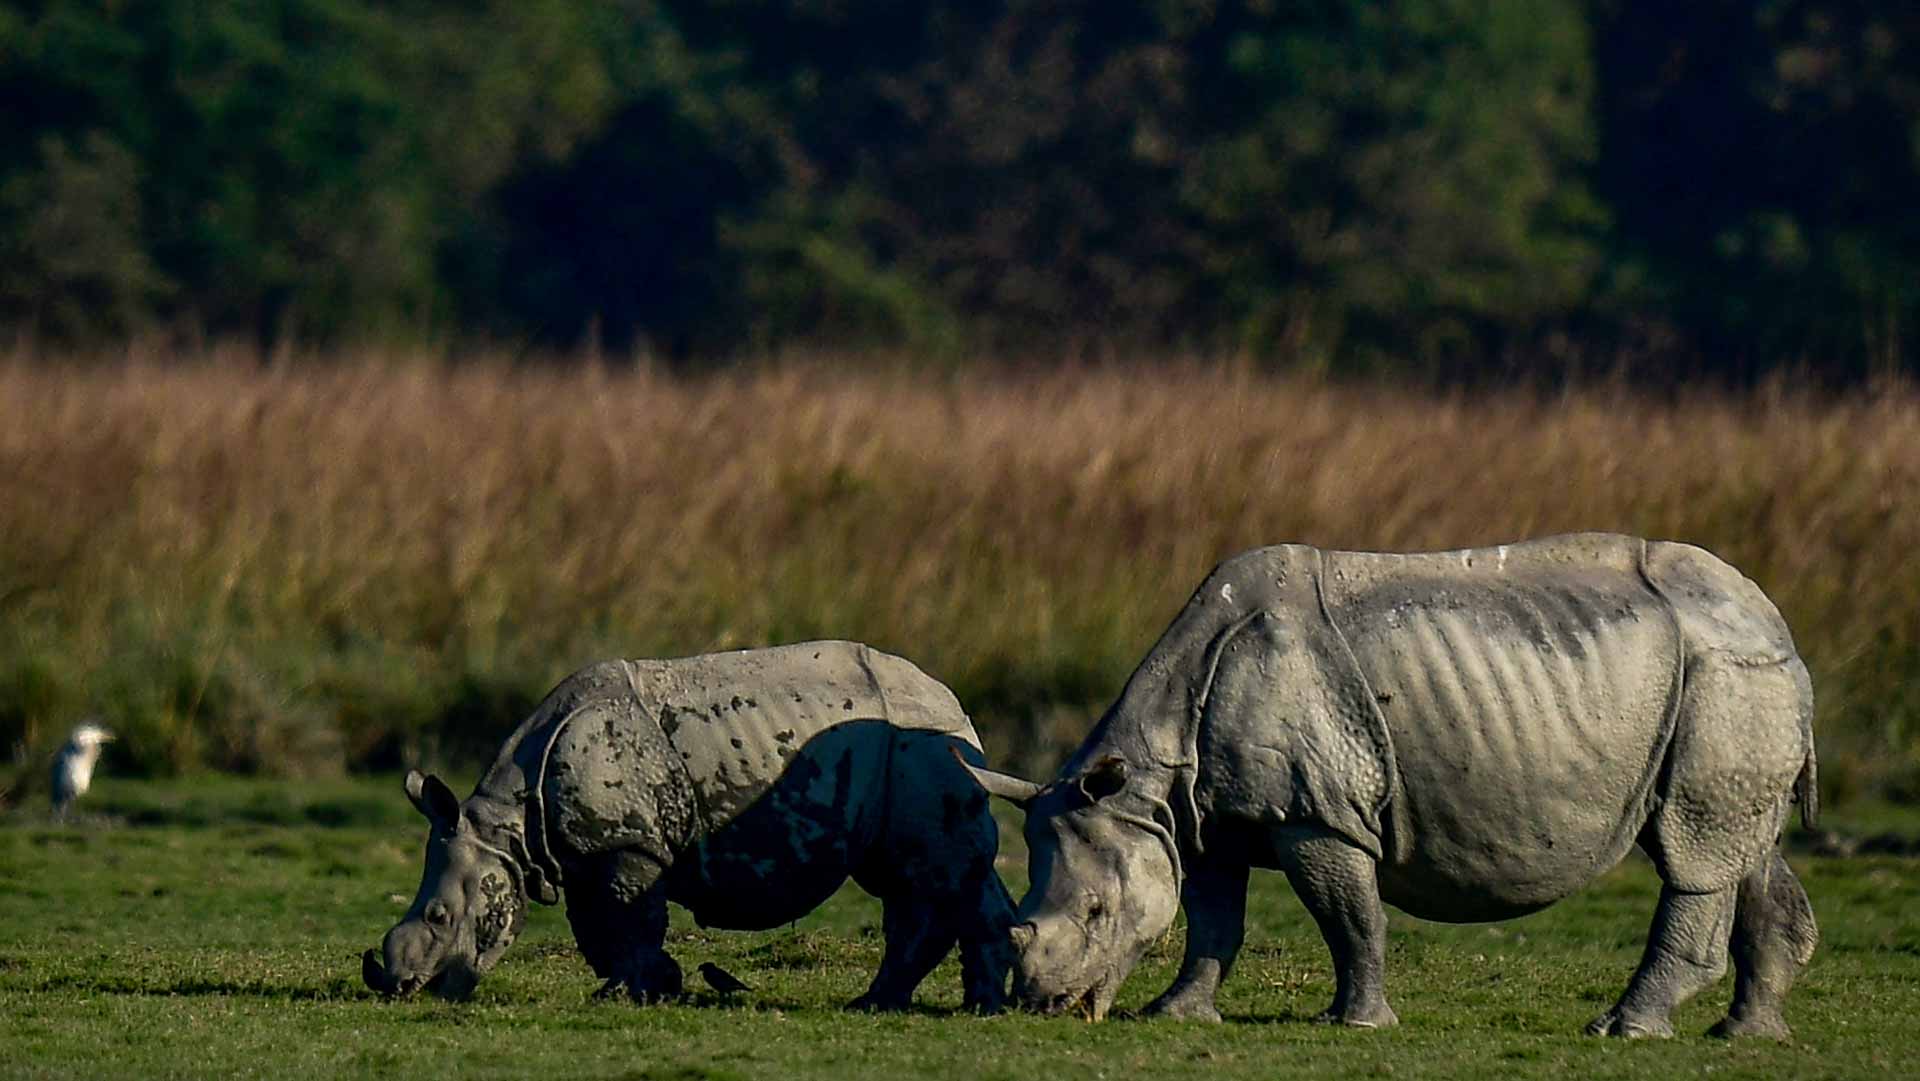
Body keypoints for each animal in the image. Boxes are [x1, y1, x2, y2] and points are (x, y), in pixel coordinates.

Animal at [364, 641, 1014, 1011]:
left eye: (438, 916)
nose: (398, 988)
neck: (508, 826)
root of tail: (952, 700)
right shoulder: (583, 852)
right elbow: (597, 925)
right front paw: (641, 988)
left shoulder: (630, 844)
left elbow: (630, 917)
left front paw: (634, 993)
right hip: (909, 758)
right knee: (924, 877)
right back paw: (936, 1004)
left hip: (918, 749)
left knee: (929, 875)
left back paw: (917, 1006)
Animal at [963, 534, 1819, 1038]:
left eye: (1097, 911)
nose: (1038, 1002)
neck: (1146, 778)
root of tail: (1780, 624)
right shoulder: (1202, 815)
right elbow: (1212, 918)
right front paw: (1177, 1015)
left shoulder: (1317, 811)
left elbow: (1350, 917)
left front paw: (1358, 1024)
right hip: (1735, 682)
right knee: (1741, 844)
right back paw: (1745, 1035)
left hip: (1727, 673)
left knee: (1693, 850)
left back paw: (1623, 1029)